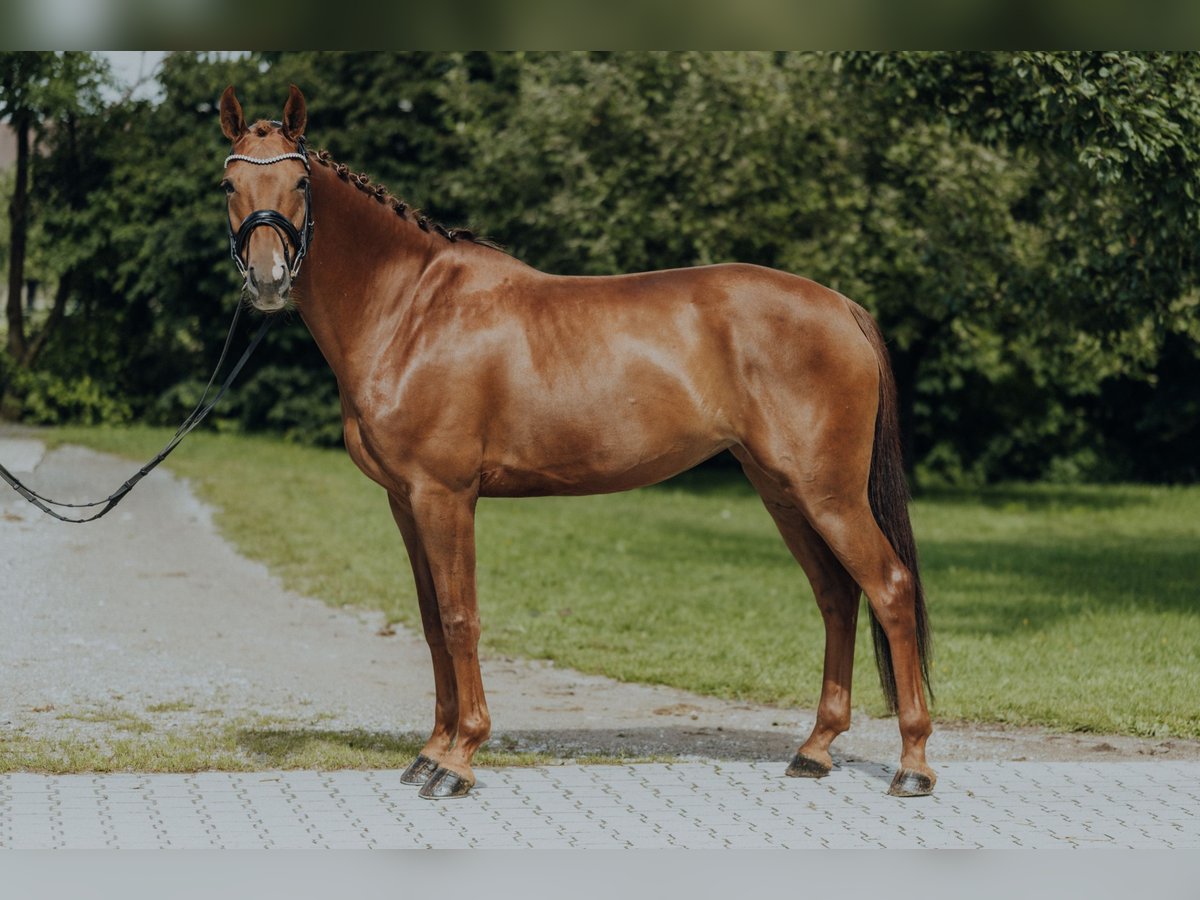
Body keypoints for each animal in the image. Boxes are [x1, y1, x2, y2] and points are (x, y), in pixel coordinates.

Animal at [220, 86, 936, 801]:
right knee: (838, 597)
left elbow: (459, 618)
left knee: (890, 588)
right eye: (229, 183)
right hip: (783, 493)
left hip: (829, 494)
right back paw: (815, 749)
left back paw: (912, 764)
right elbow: (430, 622)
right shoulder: (405, 501)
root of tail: (841, 306)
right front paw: (430, 751)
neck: (412, 312)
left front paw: (458, 760)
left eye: (300, 182)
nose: (267, 280)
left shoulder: (444, 496)